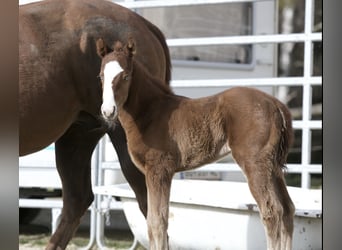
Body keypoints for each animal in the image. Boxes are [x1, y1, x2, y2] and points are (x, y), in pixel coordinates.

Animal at [97, 37, 296, 250]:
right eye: (101, 76)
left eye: (126, 76)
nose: (108, 111)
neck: (150, 113)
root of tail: (275, 104)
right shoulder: (153, 174)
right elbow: (152, 221)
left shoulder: (159, 170)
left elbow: (158, 221)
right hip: (272, 166)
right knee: (287, 209)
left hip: (254, 163)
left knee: (272, 212)